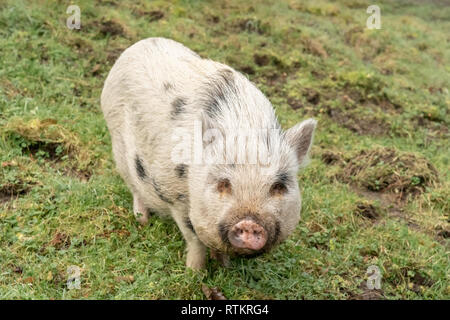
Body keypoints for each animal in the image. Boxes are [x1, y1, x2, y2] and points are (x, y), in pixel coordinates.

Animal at [101, 37, 316, 270]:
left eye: (278, 186)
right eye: (223, 183)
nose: (249, 223)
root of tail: (144, 42)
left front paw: (224, 267)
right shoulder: (174, 195)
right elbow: (194, 238)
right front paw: (194, 272)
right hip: (118, 143)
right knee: (134, 185)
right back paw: (142, 220)